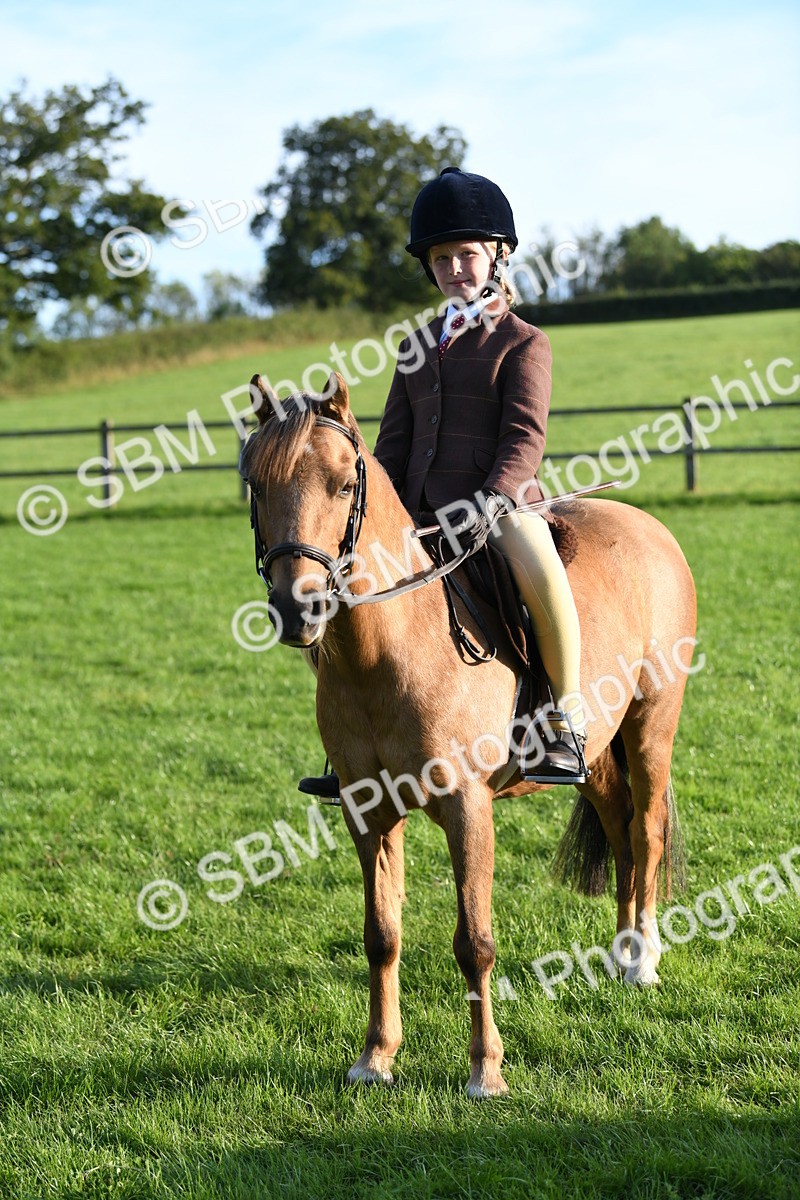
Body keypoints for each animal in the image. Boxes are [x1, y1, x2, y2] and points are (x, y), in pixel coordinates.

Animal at [239, 372, 697, 1098]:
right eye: (256, 484)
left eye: (342, 485)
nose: (296, 608)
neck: (386, 650)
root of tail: (645, 524)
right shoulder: (367, 812)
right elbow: (381, 934)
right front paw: (376, 1058)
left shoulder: (467, 806)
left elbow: (474, 940)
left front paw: (486, 1070)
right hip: (597, 751)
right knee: (621, 830)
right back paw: (621, 952)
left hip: (653, 723)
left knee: (647, 830)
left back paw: (642, 963)